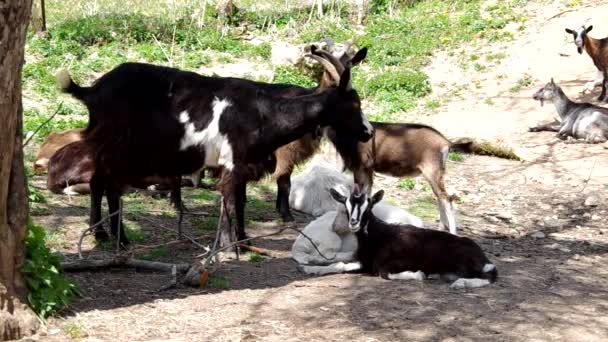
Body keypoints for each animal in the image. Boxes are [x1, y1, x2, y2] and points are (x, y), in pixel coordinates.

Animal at [58, 60, 370, 246]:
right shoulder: (231, 162)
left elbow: (241, 202)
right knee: (110, 187)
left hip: (107, 147)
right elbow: (231, 201)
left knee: (98, 182)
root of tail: (91, 91)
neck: (264, 113)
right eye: (353, 105)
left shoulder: (244, 163)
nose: (368, 132)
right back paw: (120, 239)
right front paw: (230, 246)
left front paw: (243, 240)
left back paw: (100, 234)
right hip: (120, 147)